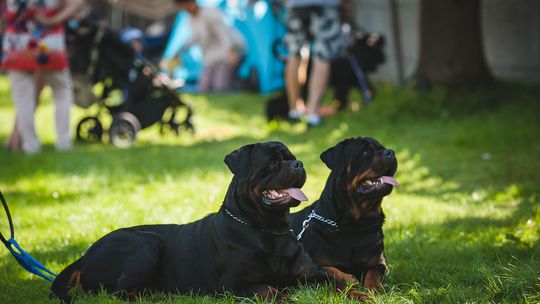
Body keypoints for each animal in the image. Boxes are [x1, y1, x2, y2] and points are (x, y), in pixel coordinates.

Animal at [49, 141, 362, 302]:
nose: (299, 164)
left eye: (292, 158)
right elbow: (272, 291)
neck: (269, 230)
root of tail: (85, 255)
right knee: (118, 292)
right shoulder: (235, 284)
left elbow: (342, 282)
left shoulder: (309, 272)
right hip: (146, 244)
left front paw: (362, 294)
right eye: (273, 162)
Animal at [292, 137, 396, 290]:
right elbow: (331, 269)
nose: (391, 152)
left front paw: (374, 287)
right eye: (365, 152)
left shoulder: (380, 262)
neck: (355, 225)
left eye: (383, 148)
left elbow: (374, 272)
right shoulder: (312, 264)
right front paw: (348, 278)